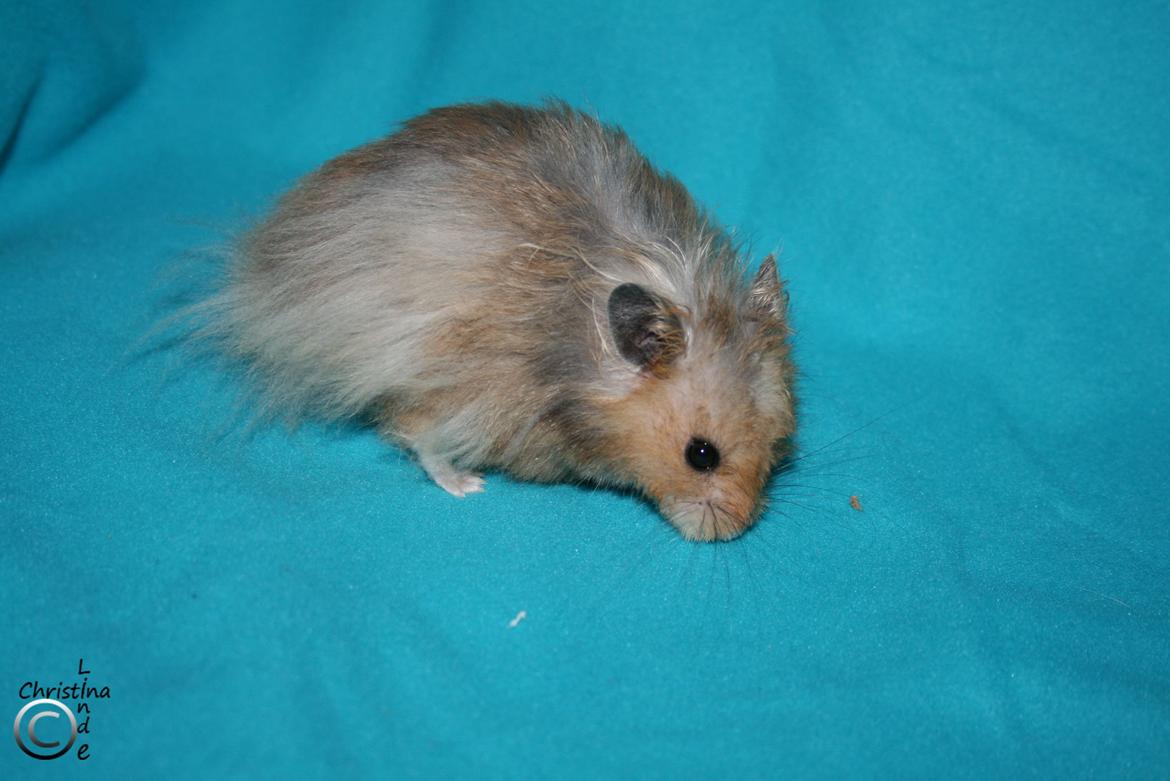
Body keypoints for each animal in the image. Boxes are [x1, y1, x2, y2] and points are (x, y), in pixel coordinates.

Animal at [202, 100, 796, 541]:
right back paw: (468, 484)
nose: (734, 531)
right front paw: (467, 484)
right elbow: (415, 433)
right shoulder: (467, 388)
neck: (572, 353)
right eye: (701, 456)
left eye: (778, 444)